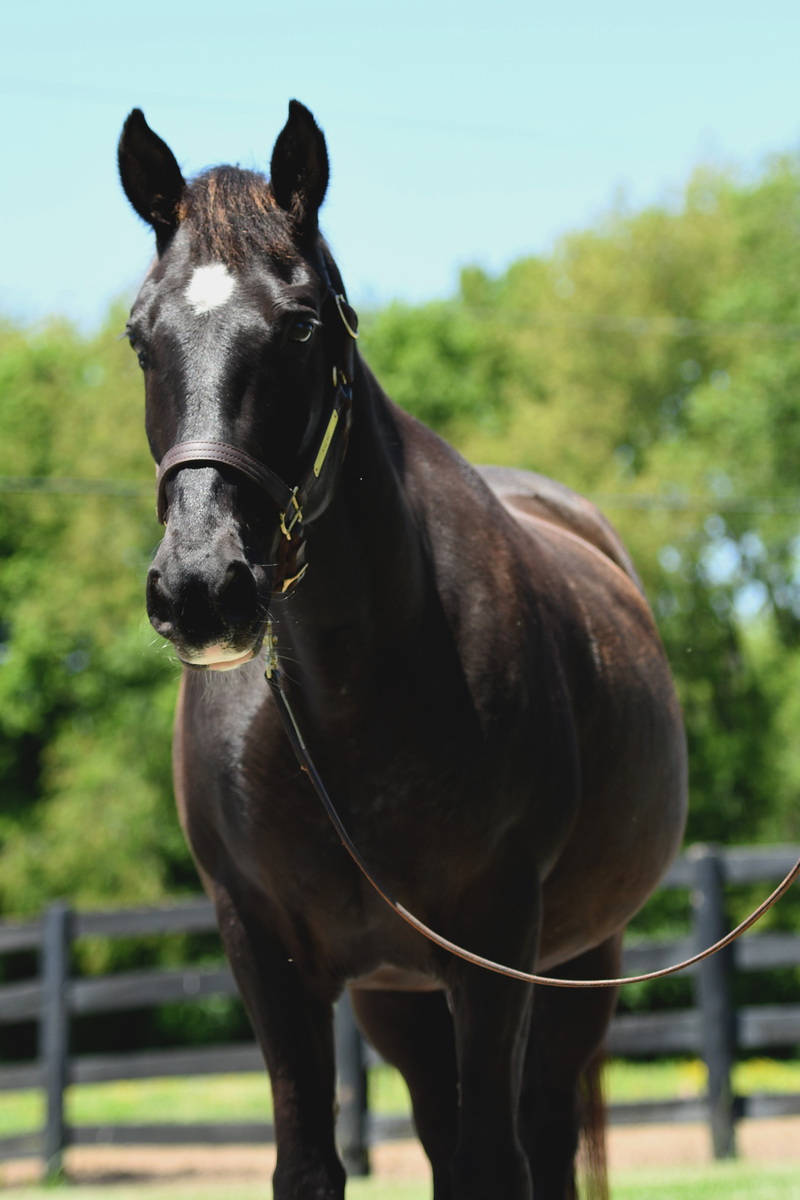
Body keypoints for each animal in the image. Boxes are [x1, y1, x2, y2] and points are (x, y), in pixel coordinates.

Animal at [117, 100, 687, 1200]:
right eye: (139, 338)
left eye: (300, 324)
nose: (201, 588)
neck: (345, 702)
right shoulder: (265, 951)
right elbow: (309, 1162)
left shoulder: (495, 942)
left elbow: (492, 1164)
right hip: (401, 995)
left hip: (576, 965)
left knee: (542, 1136)